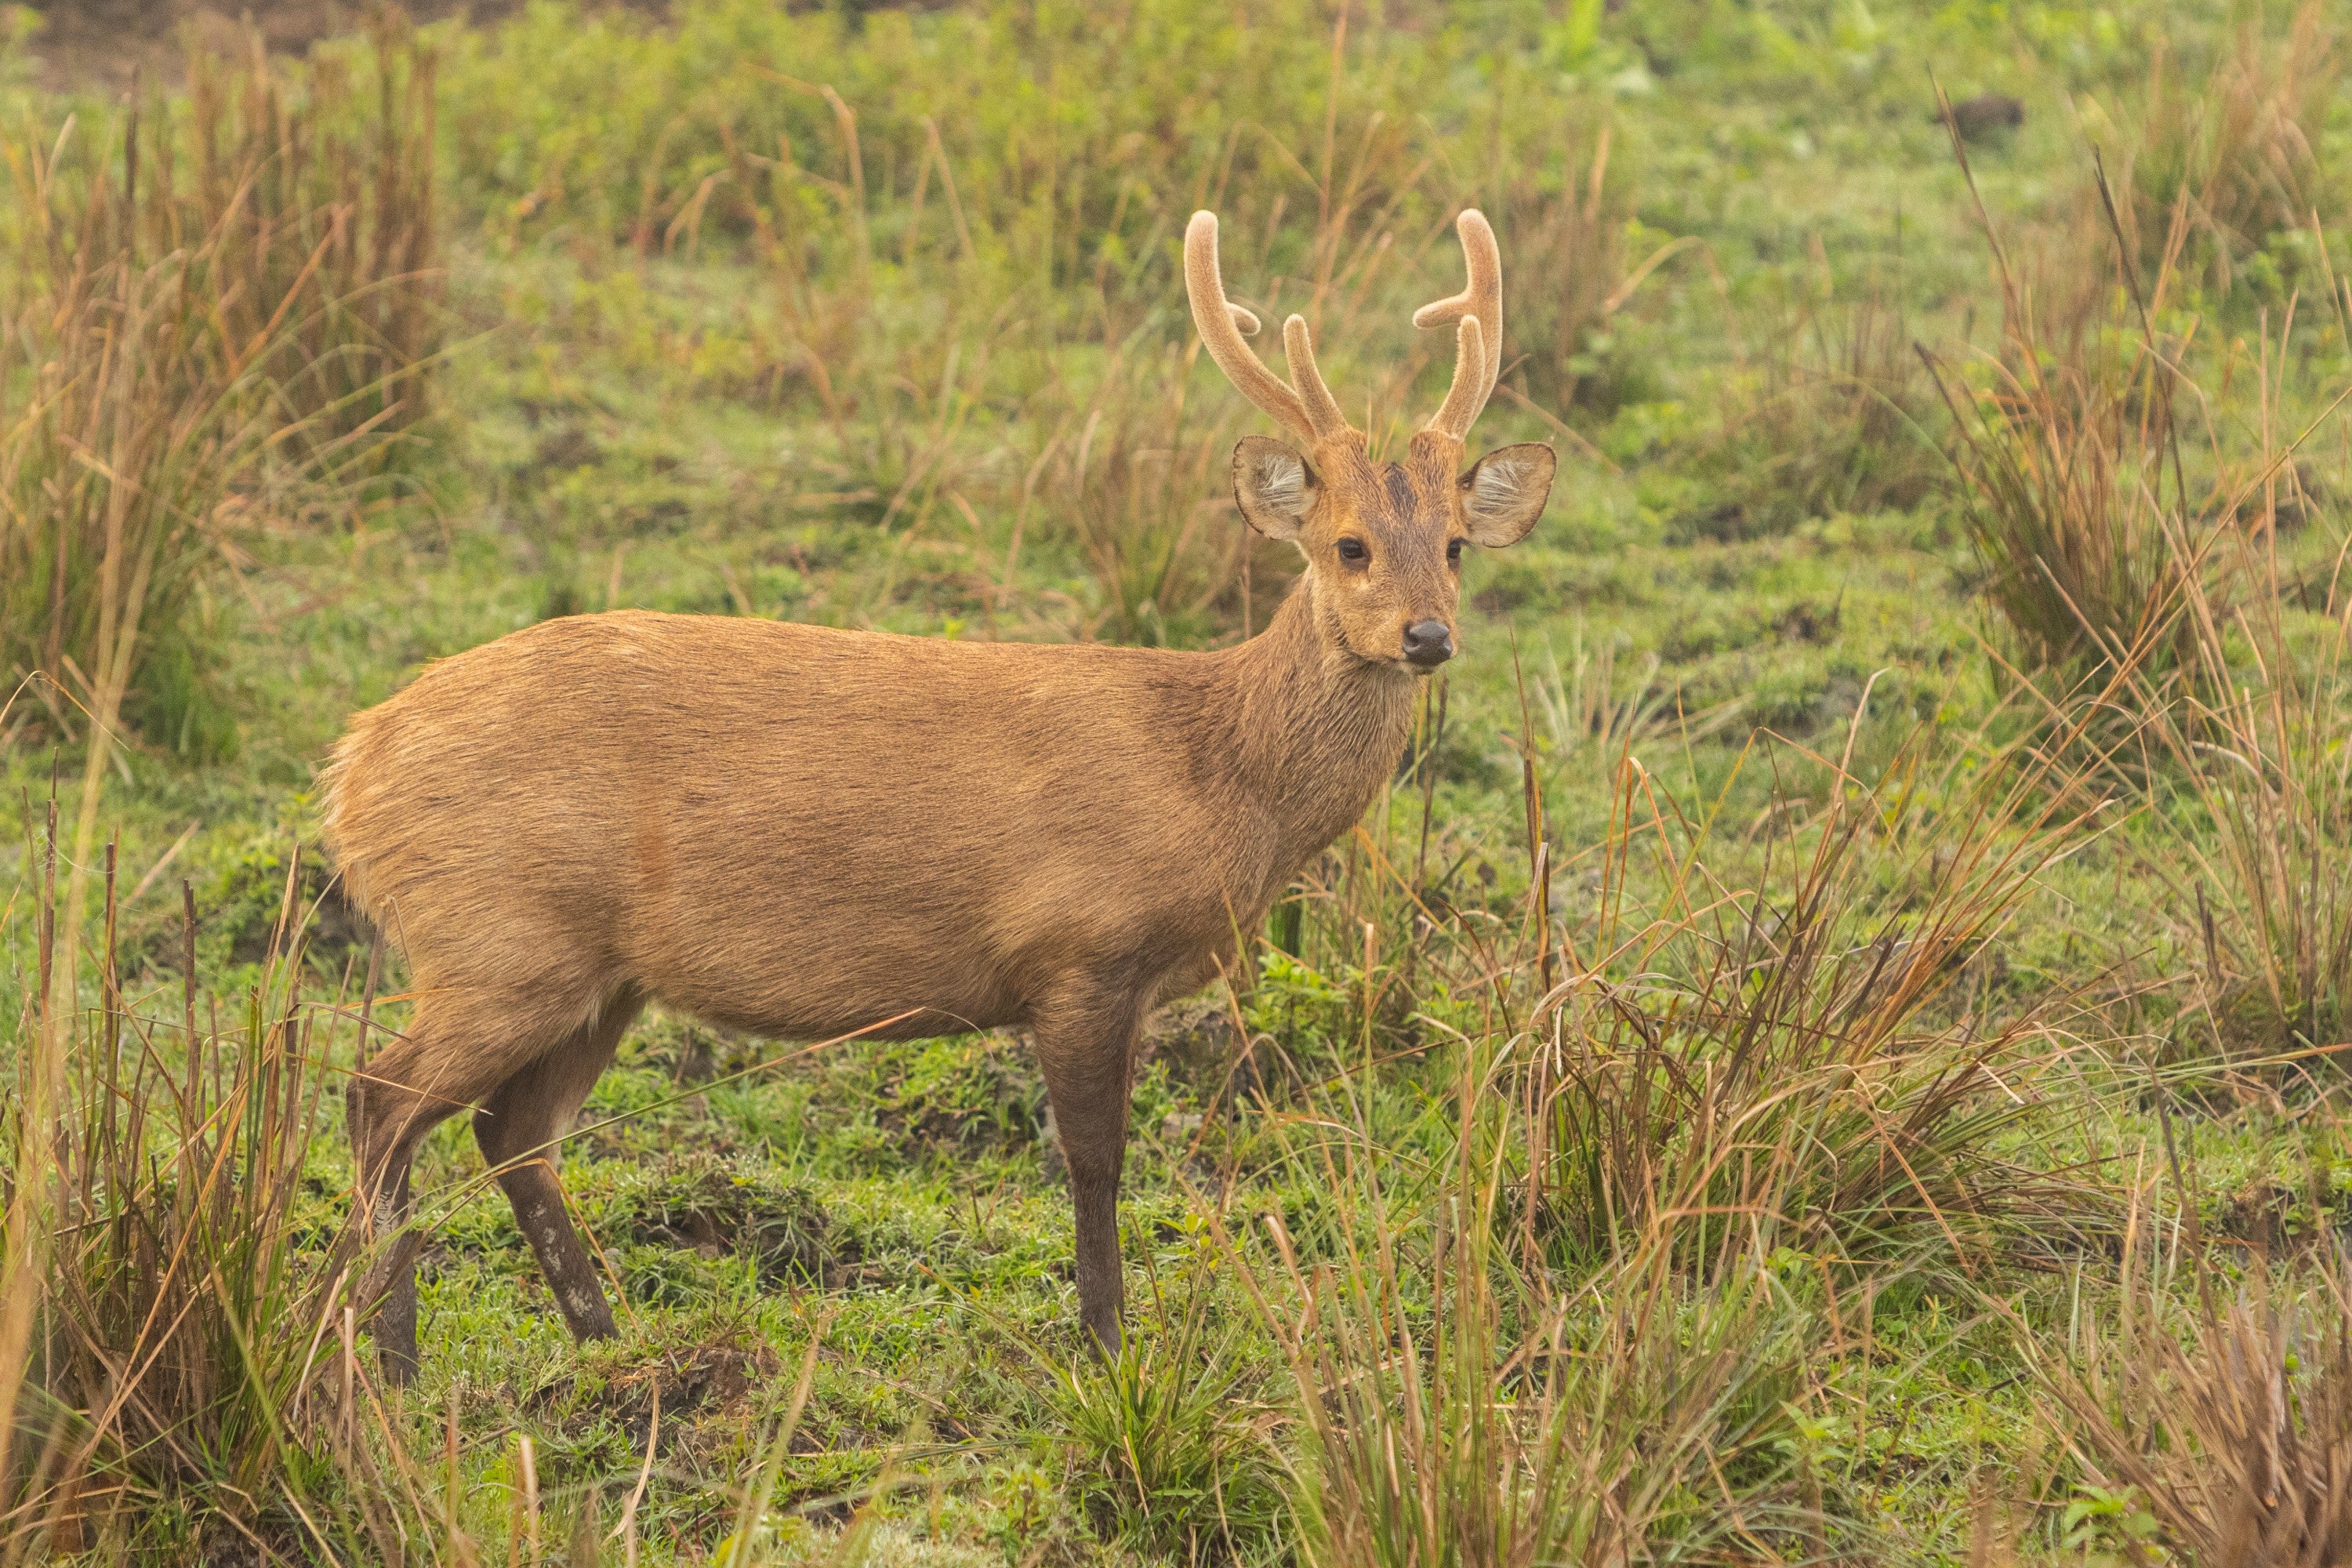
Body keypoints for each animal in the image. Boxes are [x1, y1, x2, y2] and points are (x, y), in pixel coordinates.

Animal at [323, 208, 1555, 1380]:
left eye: (1455, 545)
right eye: (1347, 545)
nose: (1427, 636)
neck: (1215, 778)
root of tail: (354, 767)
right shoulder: (1077, 947)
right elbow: (1095, 1162)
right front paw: (1106, 1347)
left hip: (593, 969)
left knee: (512, 1130)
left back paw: (598, 1339)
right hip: (498, 934)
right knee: (381, 1098)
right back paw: (394, 1358)